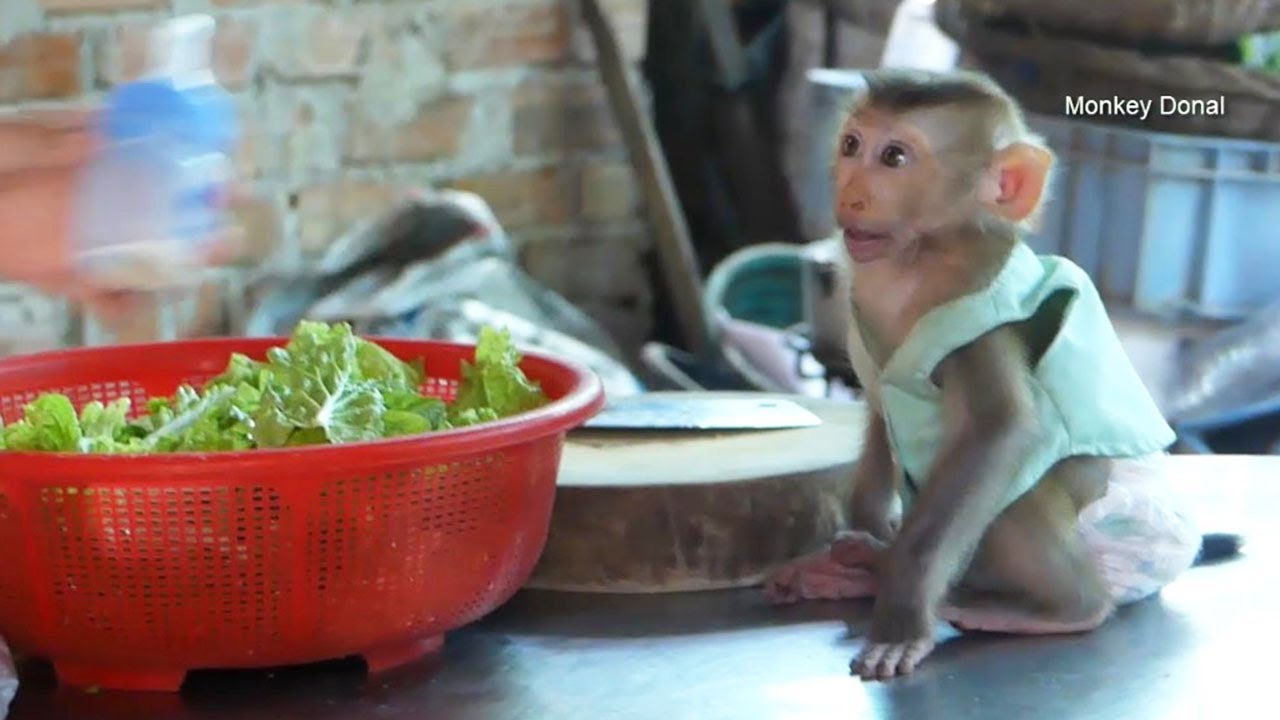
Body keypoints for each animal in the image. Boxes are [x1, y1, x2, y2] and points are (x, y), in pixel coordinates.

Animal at [763, 68, 1238, 682]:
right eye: (851, 145)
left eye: (894, 157)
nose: (851, 194)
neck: (919, 257)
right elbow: (876, 411)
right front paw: (872, 533)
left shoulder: (978, 323)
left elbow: (1005, 430)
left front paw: (902, 613)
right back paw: (865, 564)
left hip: (1131, 539)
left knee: (1018, 489)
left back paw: (1068, 609)